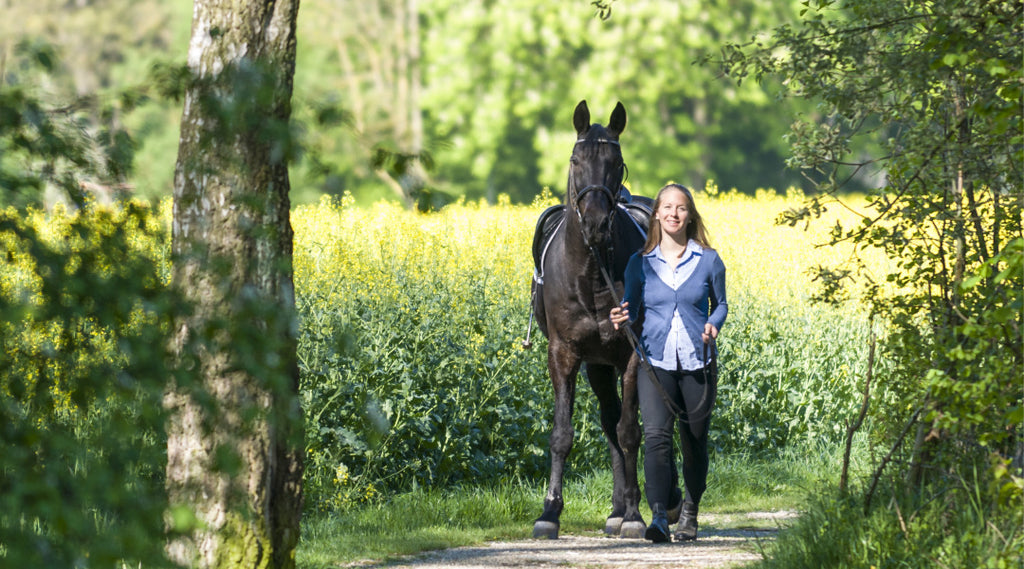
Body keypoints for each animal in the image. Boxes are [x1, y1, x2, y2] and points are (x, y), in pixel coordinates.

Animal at [528, 99, 647, 540]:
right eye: (576, 160)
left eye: (616, 162)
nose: (595, 224)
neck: (592, 269)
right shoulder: (563, 354)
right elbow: (563, 435)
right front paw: (549, 512)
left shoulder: (631, 357)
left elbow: (631, 432)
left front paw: (635, 515)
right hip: (597, 366)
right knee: (609, 420)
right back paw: (614, 509)